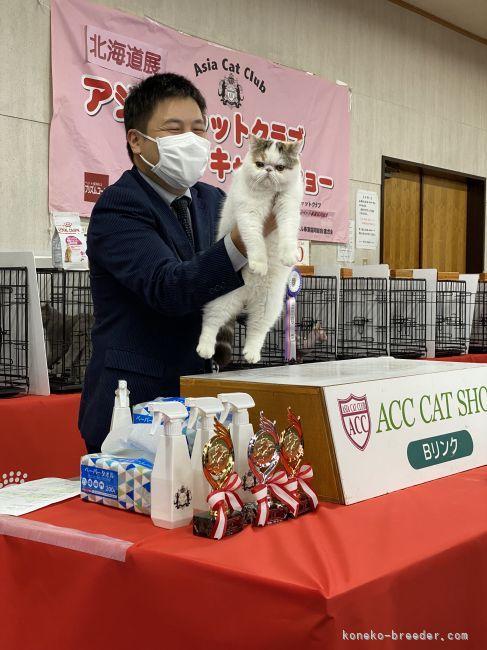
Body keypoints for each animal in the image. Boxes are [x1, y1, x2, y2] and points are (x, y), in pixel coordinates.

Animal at [196, 136, 304, 364]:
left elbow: (288, 233)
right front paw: (259, 263)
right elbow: (255, 241)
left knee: (257, 329)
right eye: (260, 164)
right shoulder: (249, 214)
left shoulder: (288, 209)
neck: (269, 194)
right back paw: (205, 347)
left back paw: (252, 353)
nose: (269, 170)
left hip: (269, 305)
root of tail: (248, 294)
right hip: (222, 299)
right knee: (211, 320)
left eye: (280, 167)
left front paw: (288, 254)